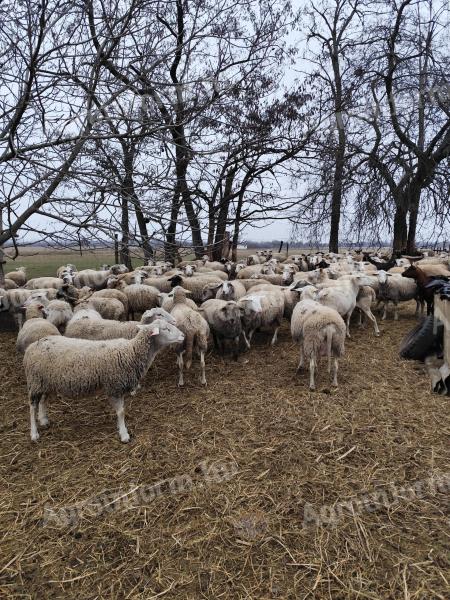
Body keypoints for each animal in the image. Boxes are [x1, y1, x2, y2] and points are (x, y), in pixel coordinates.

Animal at [24, 318, 185, 440]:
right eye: (166, 328)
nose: (183, 335)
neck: (131, 352)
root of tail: (32, 346)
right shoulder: (115, 386)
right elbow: (121, 412)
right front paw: (124, 434)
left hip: (46, 380)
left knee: (44, 400)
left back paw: (44, 420)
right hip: (35, 381)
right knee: (32, 407)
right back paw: (34, 433)